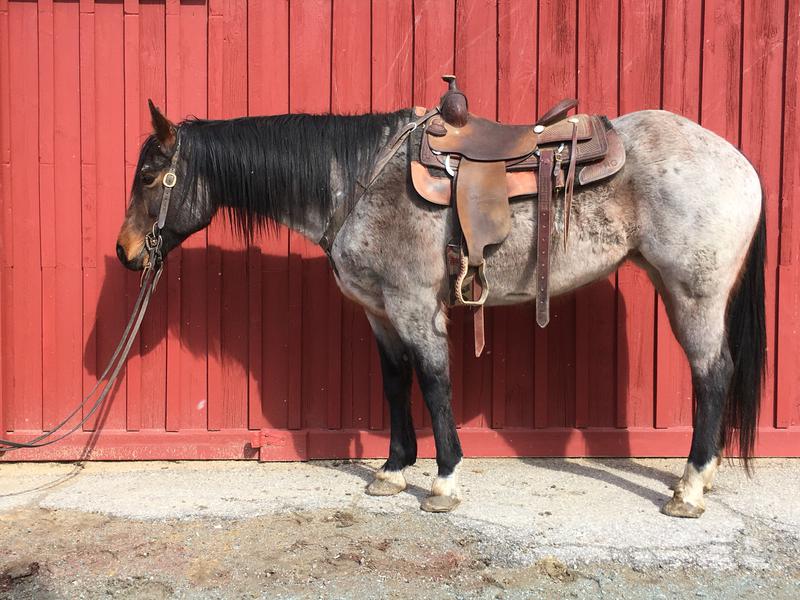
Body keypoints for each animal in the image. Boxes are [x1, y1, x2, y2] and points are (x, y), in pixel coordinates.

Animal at [117, 99, 765, 519]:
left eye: (149, 175)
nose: (125, 252)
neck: (360, 180)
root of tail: (741, 164)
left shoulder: (412, 307)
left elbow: (432, 382)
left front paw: (444, 482)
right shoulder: (380, 313)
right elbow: (394, 383)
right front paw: (392, 470)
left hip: (694, 295)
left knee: (713, 375)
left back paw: (689, 489)